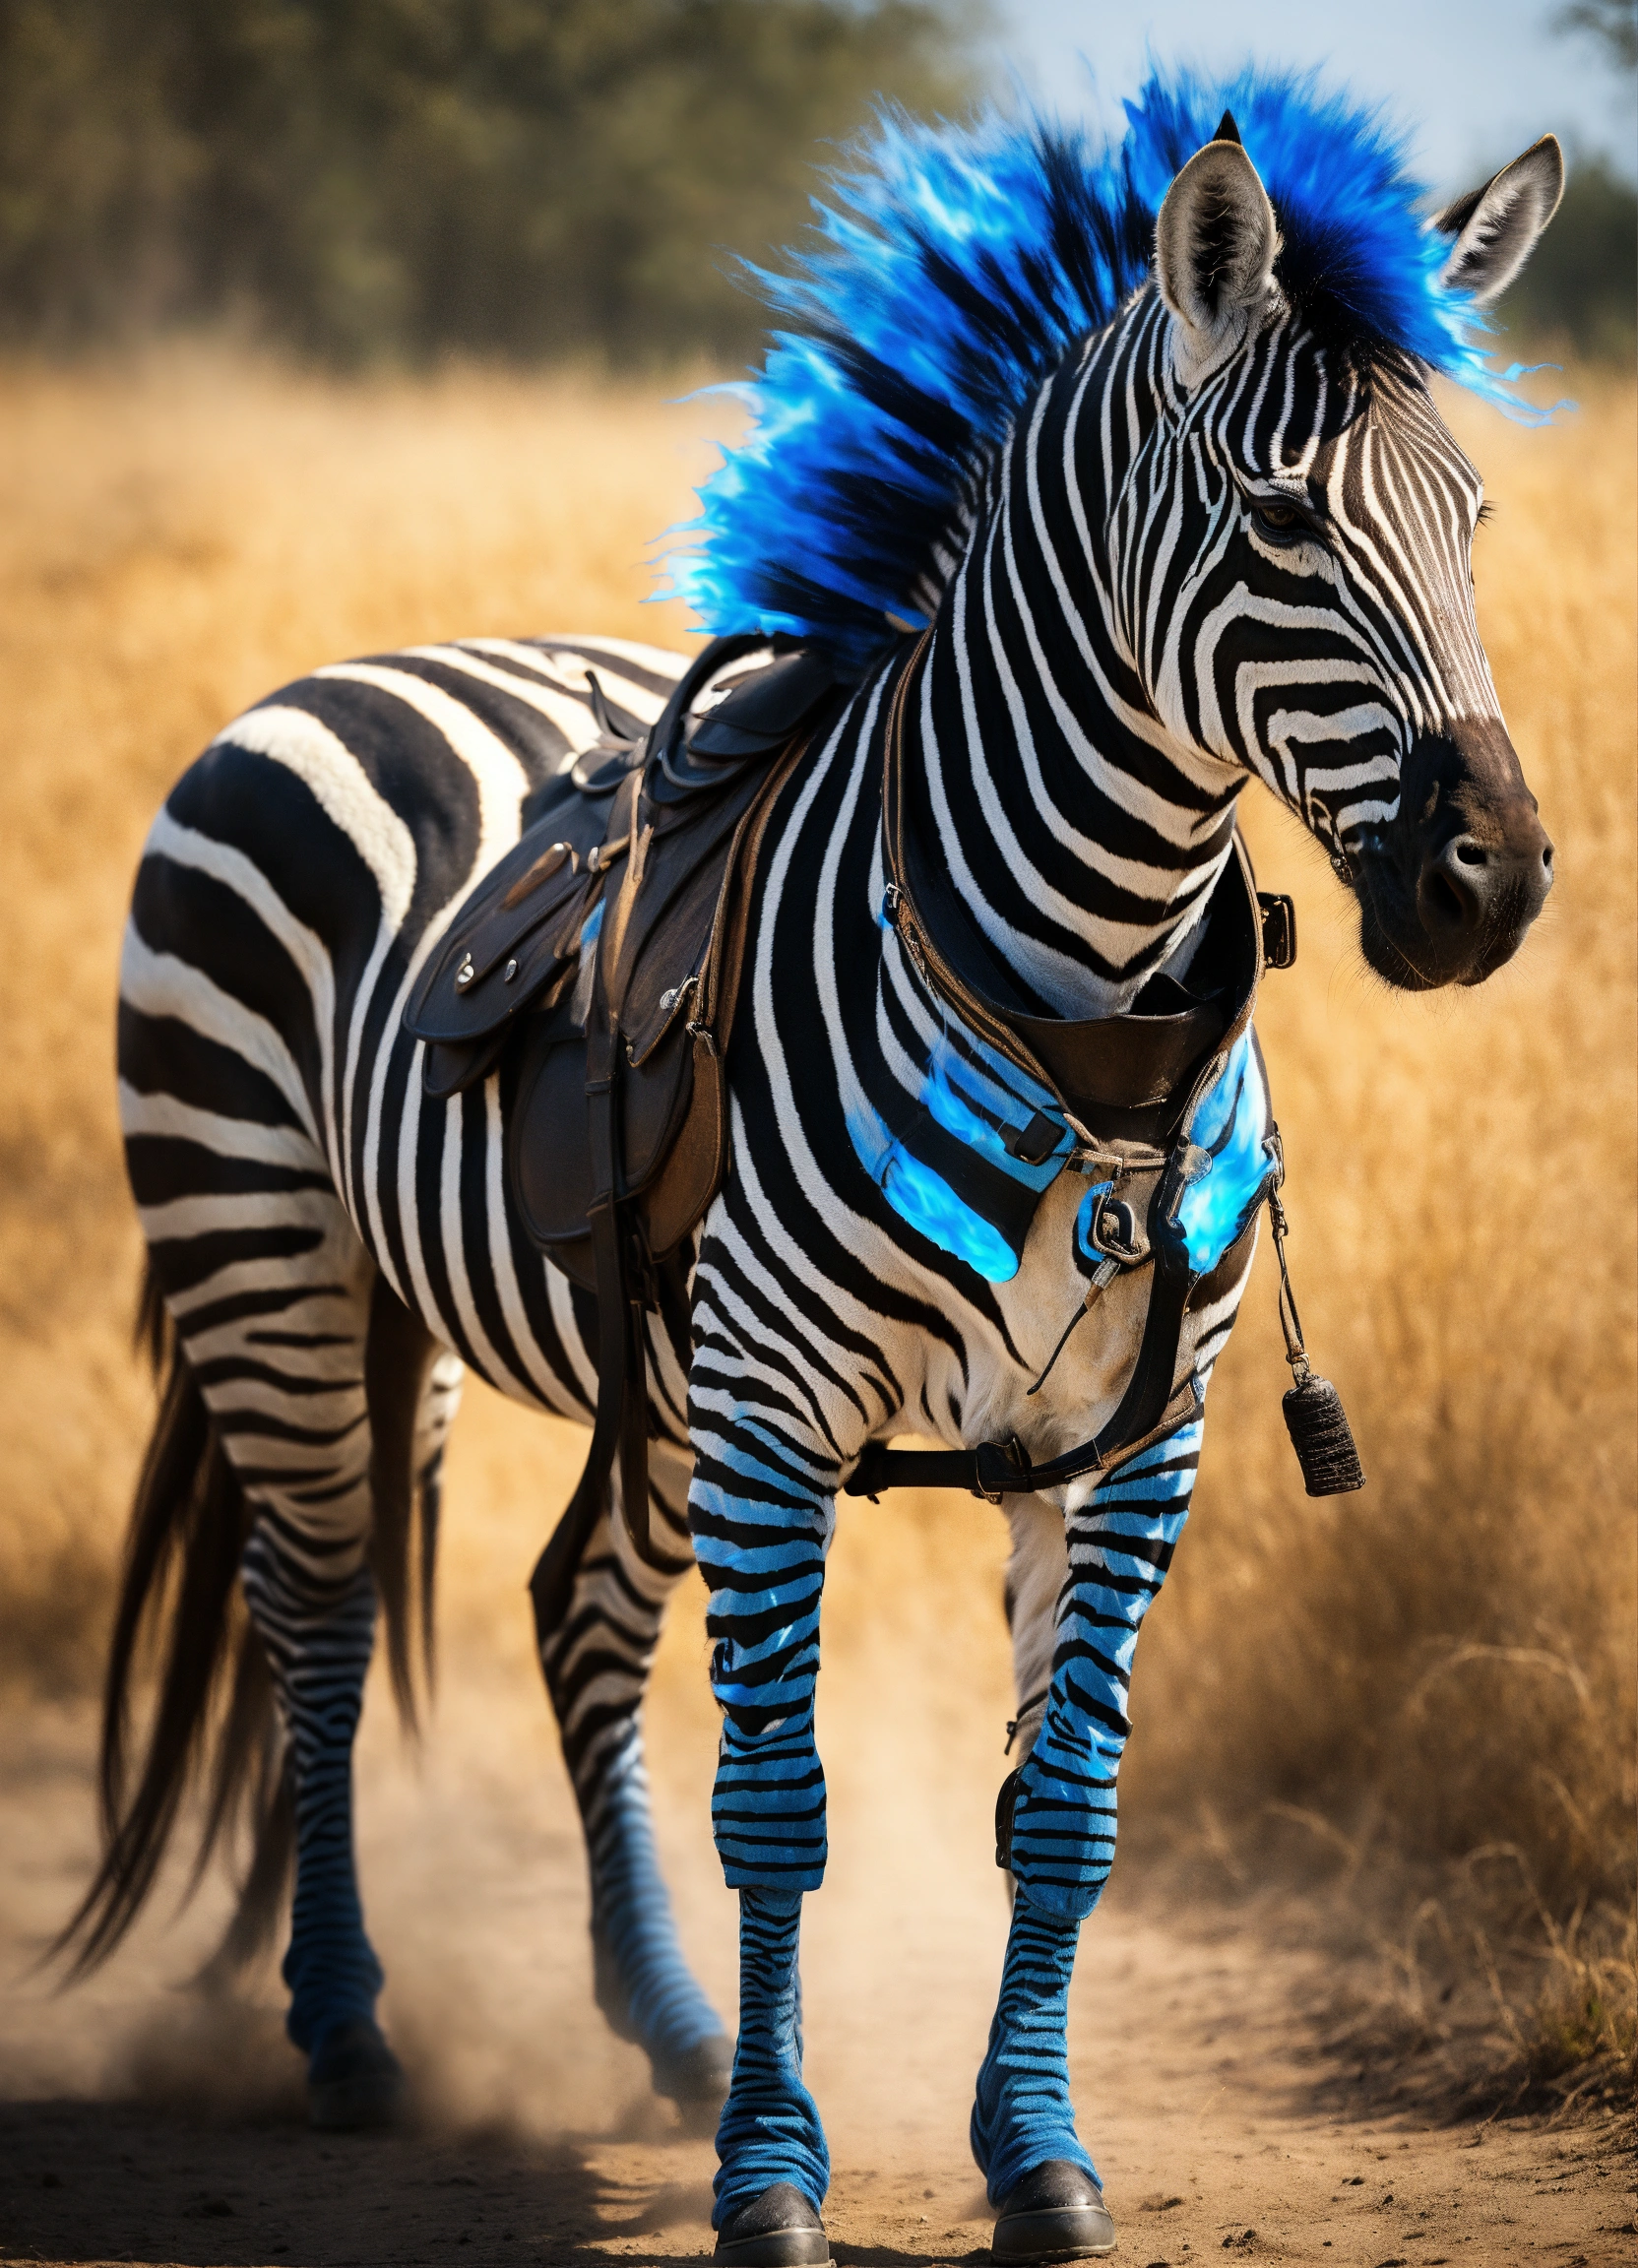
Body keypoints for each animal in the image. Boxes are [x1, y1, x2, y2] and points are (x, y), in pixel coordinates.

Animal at [68, 65, 1561, 2266]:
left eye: (1471, 522)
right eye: (1278, 520)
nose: (1495, 884)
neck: (1075, 997)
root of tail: (360, 665)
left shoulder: (1139, 1431)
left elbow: (1064, 1810)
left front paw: (1033, 2159)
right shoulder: (781, 1409)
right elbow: (776, 1809)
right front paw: (773, 2182)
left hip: (616, 1364)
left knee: (570, 1612)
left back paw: (668, 2029)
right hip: (270, 1256)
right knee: (319, 1610)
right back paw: (346, 2028)